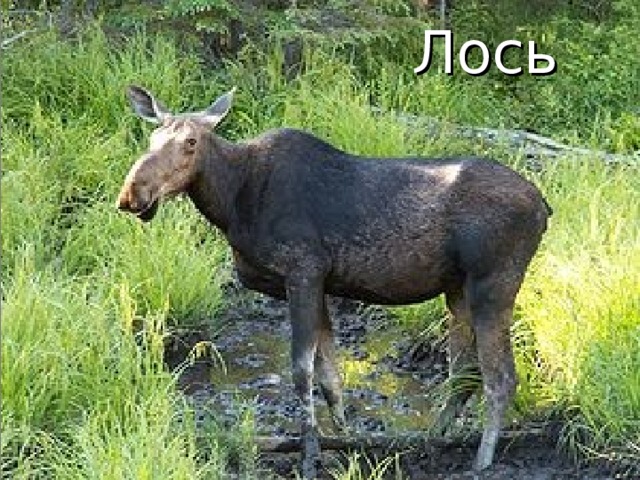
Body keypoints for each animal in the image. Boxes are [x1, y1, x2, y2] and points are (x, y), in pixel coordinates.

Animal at [117, 85, 551, 478]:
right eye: (151, 137)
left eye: (191, 141)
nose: (132, 193)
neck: (232, 205)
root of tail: (545, 207)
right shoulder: (321, 284)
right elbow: (331, 377)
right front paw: (347, 444)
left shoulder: (303, 271)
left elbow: (302, 371)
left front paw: (310, 458)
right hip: (458, 289)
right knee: (463, 373)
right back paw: (435, 441)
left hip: (493, 283)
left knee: (500, 377)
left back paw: (483, 462)